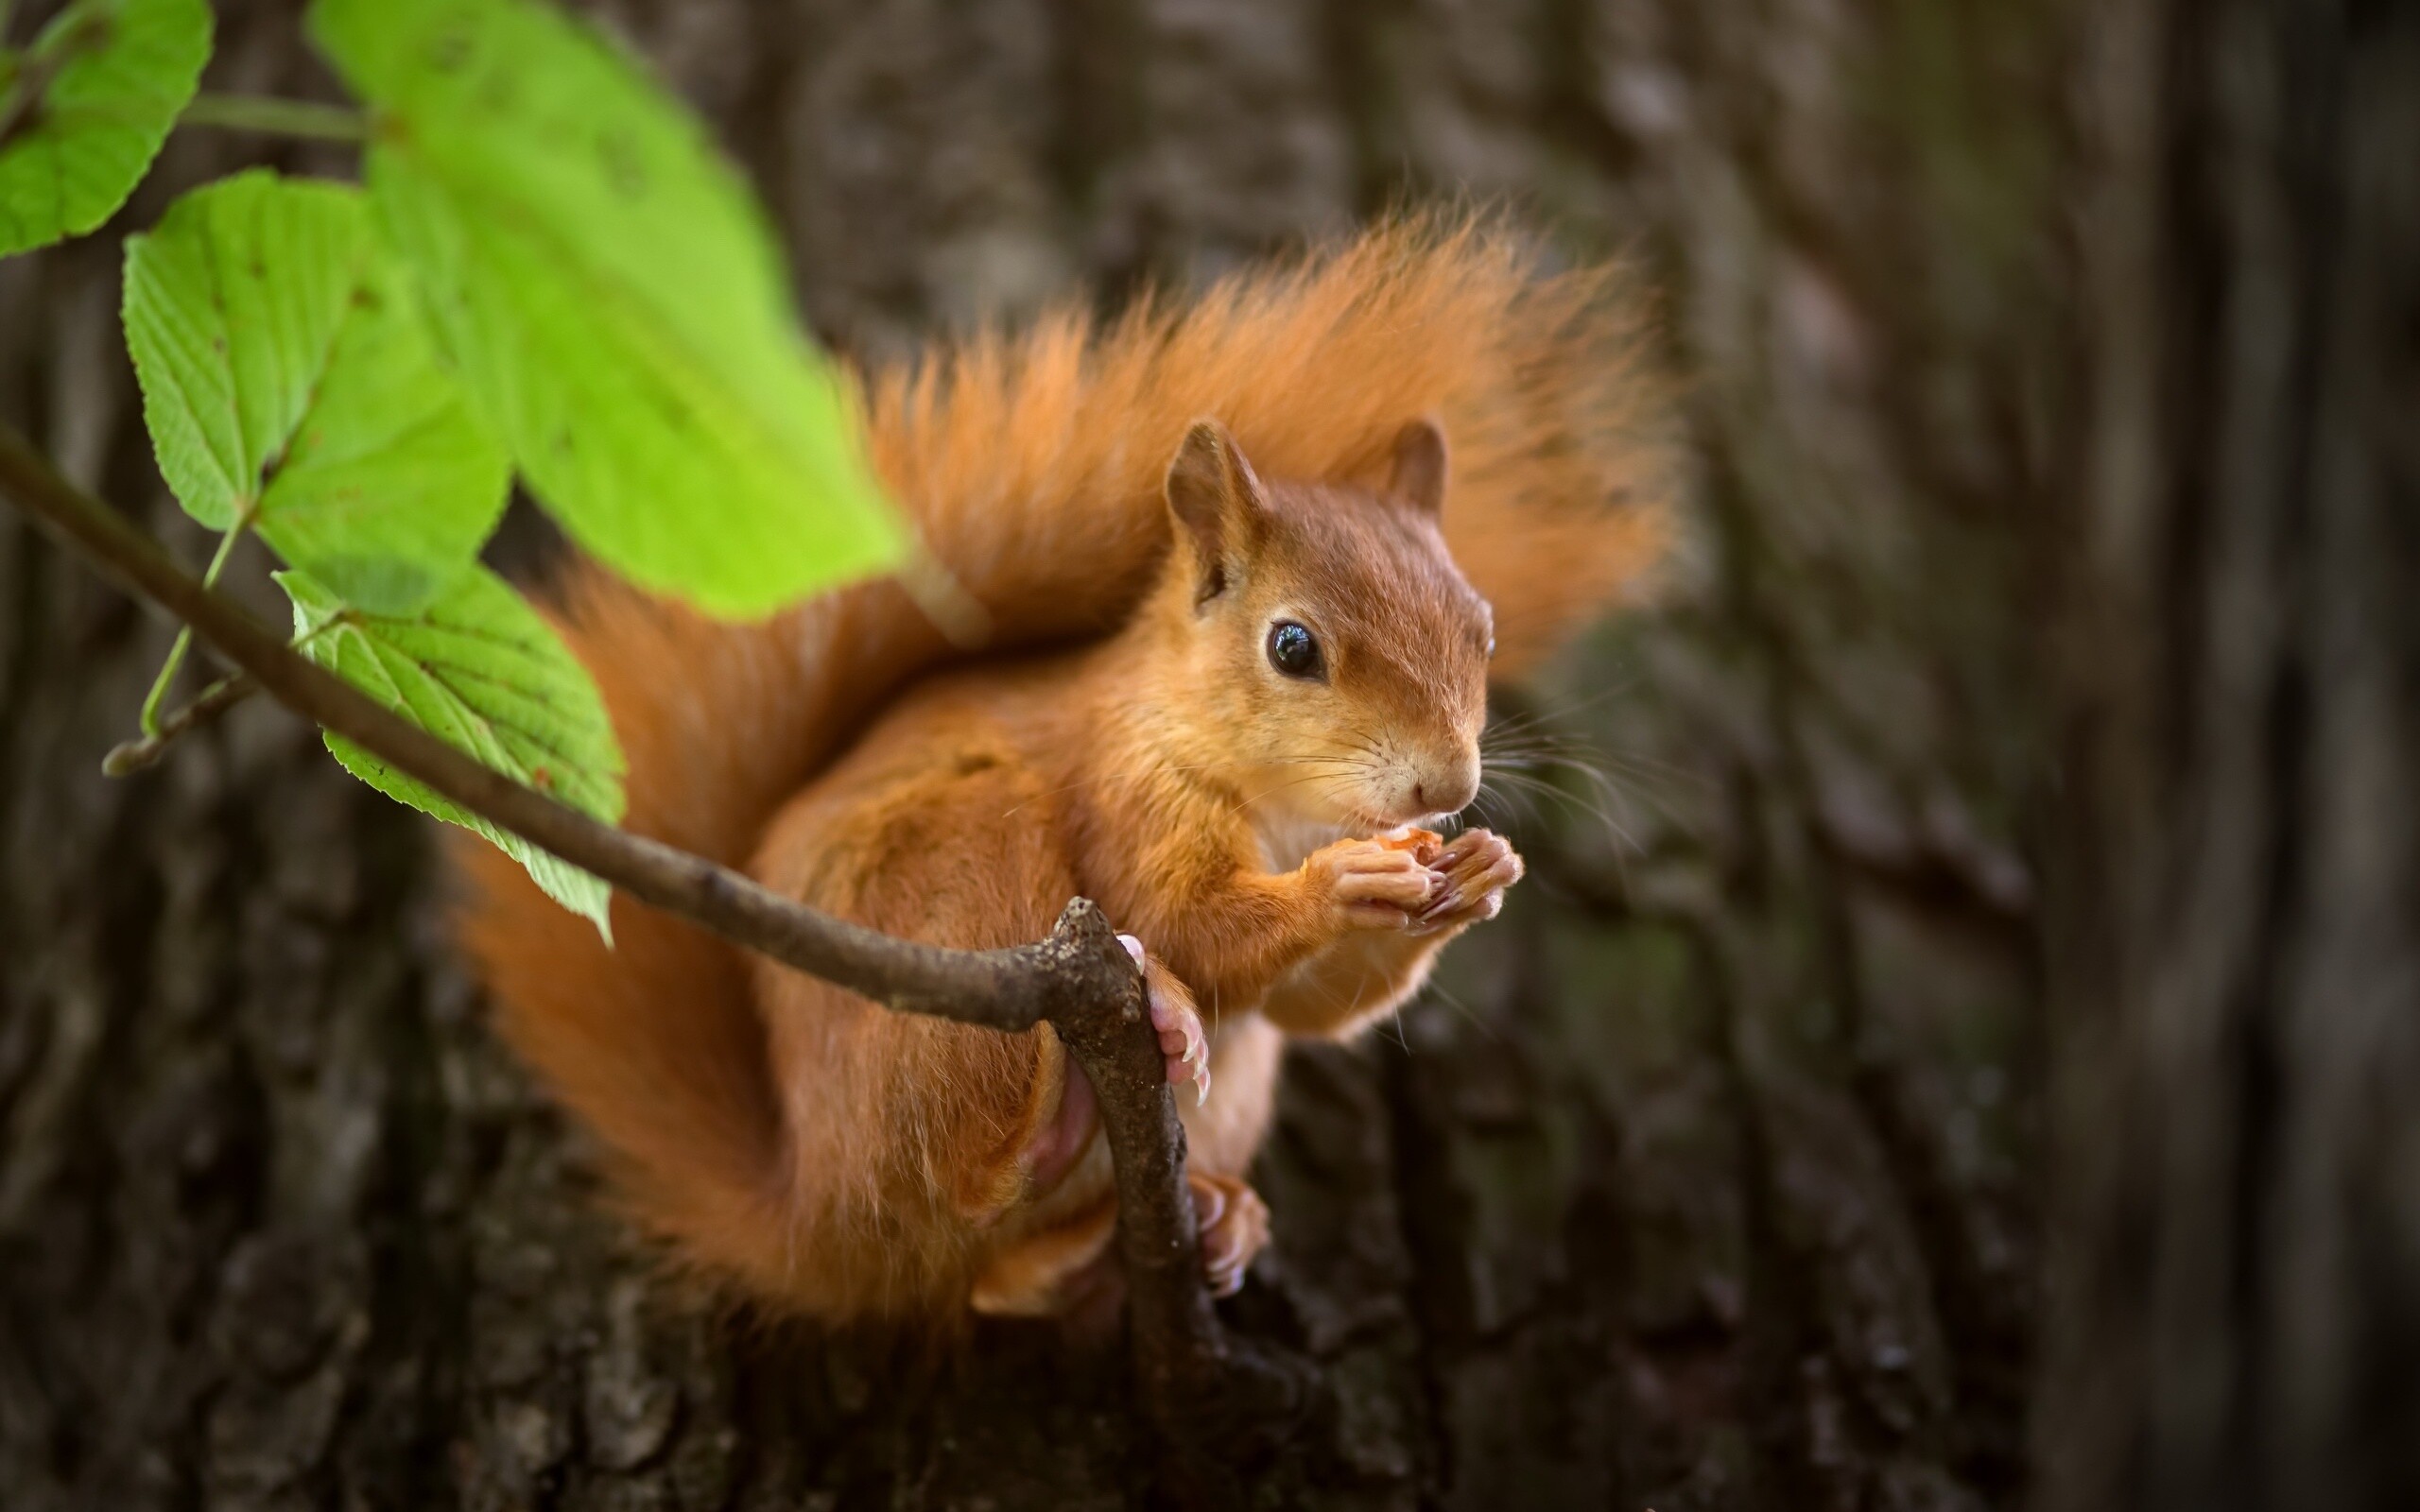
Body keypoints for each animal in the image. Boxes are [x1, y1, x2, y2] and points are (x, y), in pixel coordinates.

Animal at [450, 215, 1665, 1315]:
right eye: (1292, 647)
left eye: (1482, 628)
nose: (1444, 789)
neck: (1273, 800)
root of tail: (815, 1220)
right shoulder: (1121, 788)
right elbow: (1189, 921)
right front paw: (1343, 884)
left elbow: (1309, 1010)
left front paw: (1478, 875)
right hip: (968, 872)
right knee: (963, 1176)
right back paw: (1110, 1060)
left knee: (995, 1280)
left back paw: (1191, 1221)